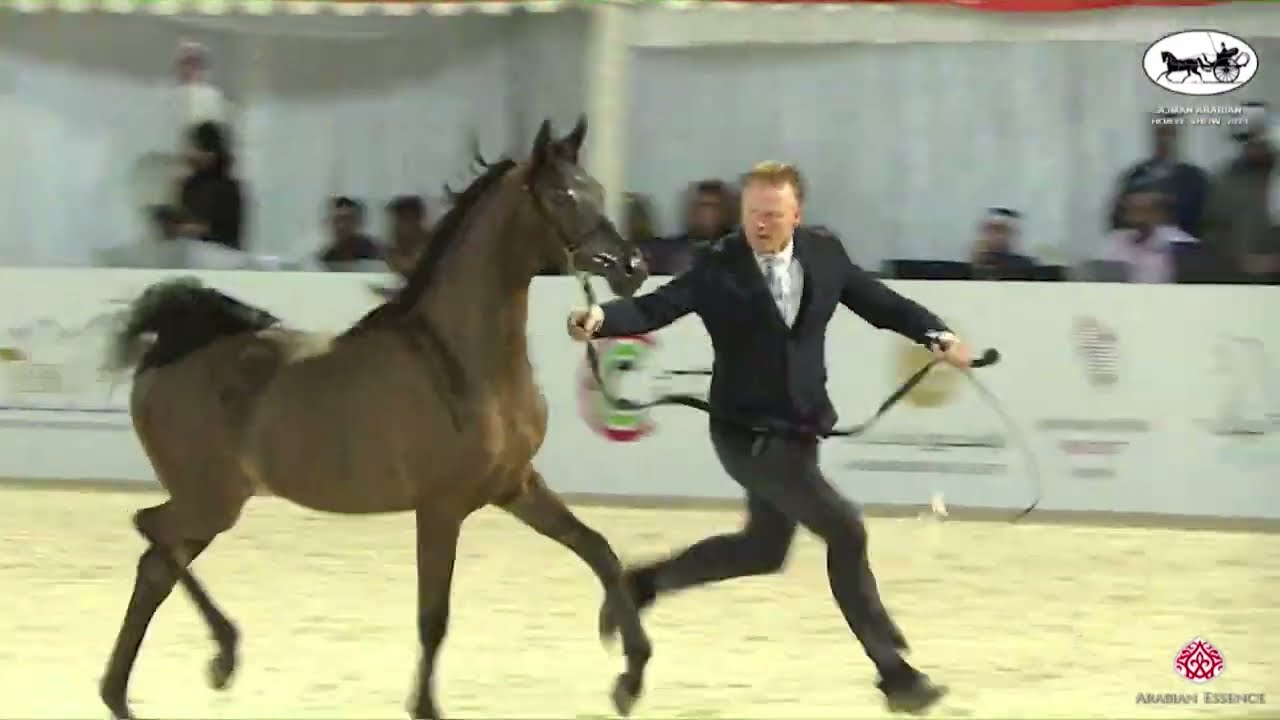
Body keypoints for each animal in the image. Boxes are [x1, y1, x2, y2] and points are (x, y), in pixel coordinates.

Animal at [102, 117, 650, 717]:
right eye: (561, 194)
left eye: (597, 188)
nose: (632, 267)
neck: (462, 361)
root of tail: (169, 346)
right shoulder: (441, 508)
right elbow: (433, 617)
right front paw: (425, 707)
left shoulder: (516, 486)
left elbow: (599, 550)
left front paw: (631, 677)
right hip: (210, 499)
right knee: (152, 533)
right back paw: (221, 654)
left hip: (217, 501)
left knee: (156, 563)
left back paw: (129, 691)